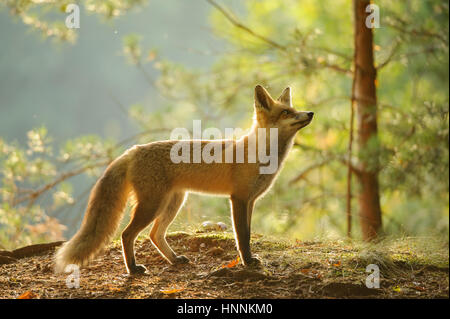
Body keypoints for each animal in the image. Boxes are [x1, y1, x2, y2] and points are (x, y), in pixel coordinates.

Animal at [54, 85, 312, 276]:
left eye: (294, 108)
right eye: (286, 113)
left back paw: (173, 259)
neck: (261, 156)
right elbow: (242, 236)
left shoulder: (250, 201)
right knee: (128, 234)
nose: (310, 114)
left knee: (154, 235)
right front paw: (247, 263)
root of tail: (134, 150)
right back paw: (133, 269)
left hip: (173, 202)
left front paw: (247, 261)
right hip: (152, 205)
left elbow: (246, 234)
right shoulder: (237, 199)